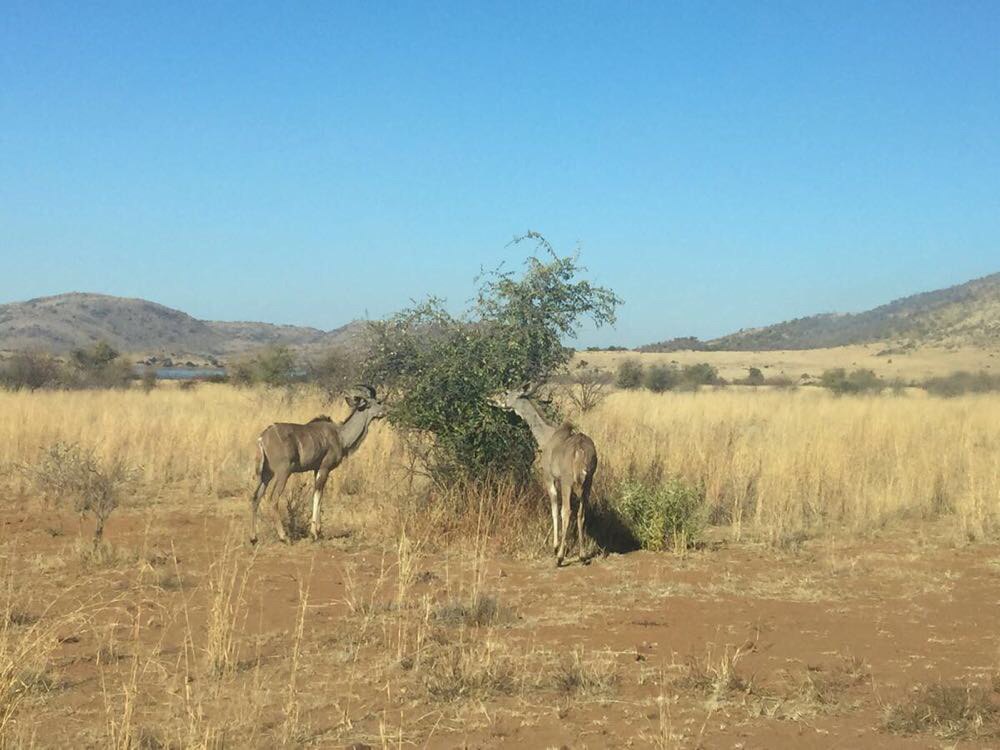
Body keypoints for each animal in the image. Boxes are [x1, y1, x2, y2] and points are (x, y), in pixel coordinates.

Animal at [250, 388, 386, 548]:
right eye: (376, 402)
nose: (384, 412)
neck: (340, 435)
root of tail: (262, 438)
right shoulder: (324, 468)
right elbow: (318, 494)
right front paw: (315, 533)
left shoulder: (316, 469)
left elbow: (317, 494)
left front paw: (317, 531)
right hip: (283, 473)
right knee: (273, 499)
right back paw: (284, 537)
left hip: (266, 474)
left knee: (255, 496)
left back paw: (253, 538)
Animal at [490, 384, 592, 568]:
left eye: (507, 392)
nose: (491, 398)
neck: (547, 436)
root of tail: (581, 450)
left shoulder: (550, 478)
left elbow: (554, 506)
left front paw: (556, 547)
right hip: (588, 482)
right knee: (581, 513)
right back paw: (582, 556)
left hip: (568, 482)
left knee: (567, 511)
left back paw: (559, 557)